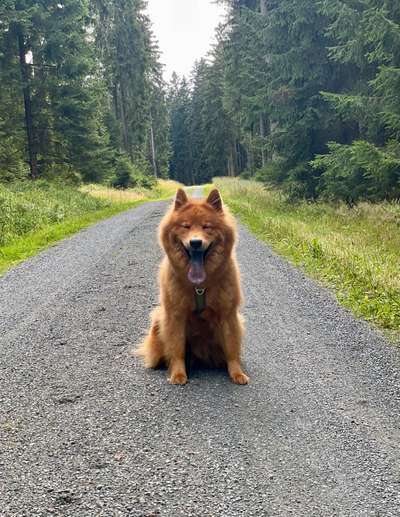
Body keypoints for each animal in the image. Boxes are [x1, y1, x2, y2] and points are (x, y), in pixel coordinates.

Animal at [138, 187, 250, 384]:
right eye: (186, 226)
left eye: (207, 226)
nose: (195, 242)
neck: (200, 286)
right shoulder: (175, 315)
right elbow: (176, 348)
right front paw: (178, 374)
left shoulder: (228, 314)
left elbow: (232, 348)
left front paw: (237, 373)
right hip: (159, 318)